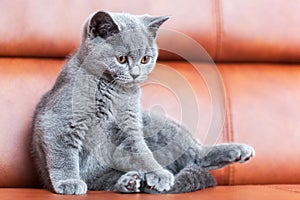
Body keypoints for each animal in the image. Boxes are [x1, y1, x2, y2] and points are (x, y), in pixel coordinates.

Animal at [31, 10, 255, 194]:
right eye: (121, 59)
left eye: (145, 59)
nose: (135, 74)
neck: (112, 90)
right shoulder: (60, 121)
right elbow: (63, 155)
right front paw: (69, 182)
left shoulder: (130, 125)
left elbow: (142, 152)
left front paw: (158, 173)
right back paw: (130, 181)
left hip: (154, 123)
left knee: (196, 154)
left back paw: (239, 151)